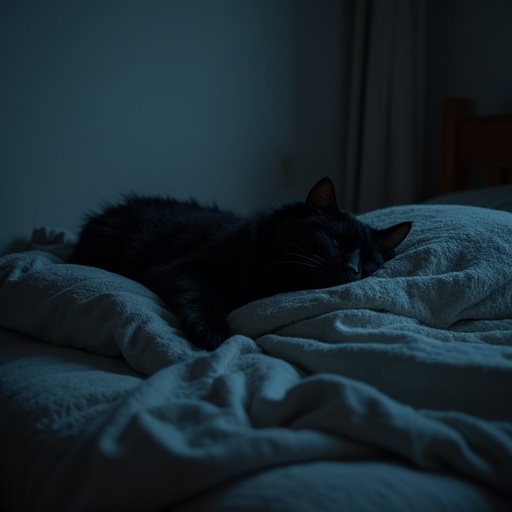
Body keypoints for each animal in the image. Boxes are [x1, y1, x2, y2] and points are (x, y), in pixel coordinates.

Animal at [70, 178, 412, 350]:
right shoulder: (182, 269)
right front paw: (212, 333)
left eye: (369, 261)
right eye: (335, 241)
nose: (352, 269)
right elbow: (202, 296)